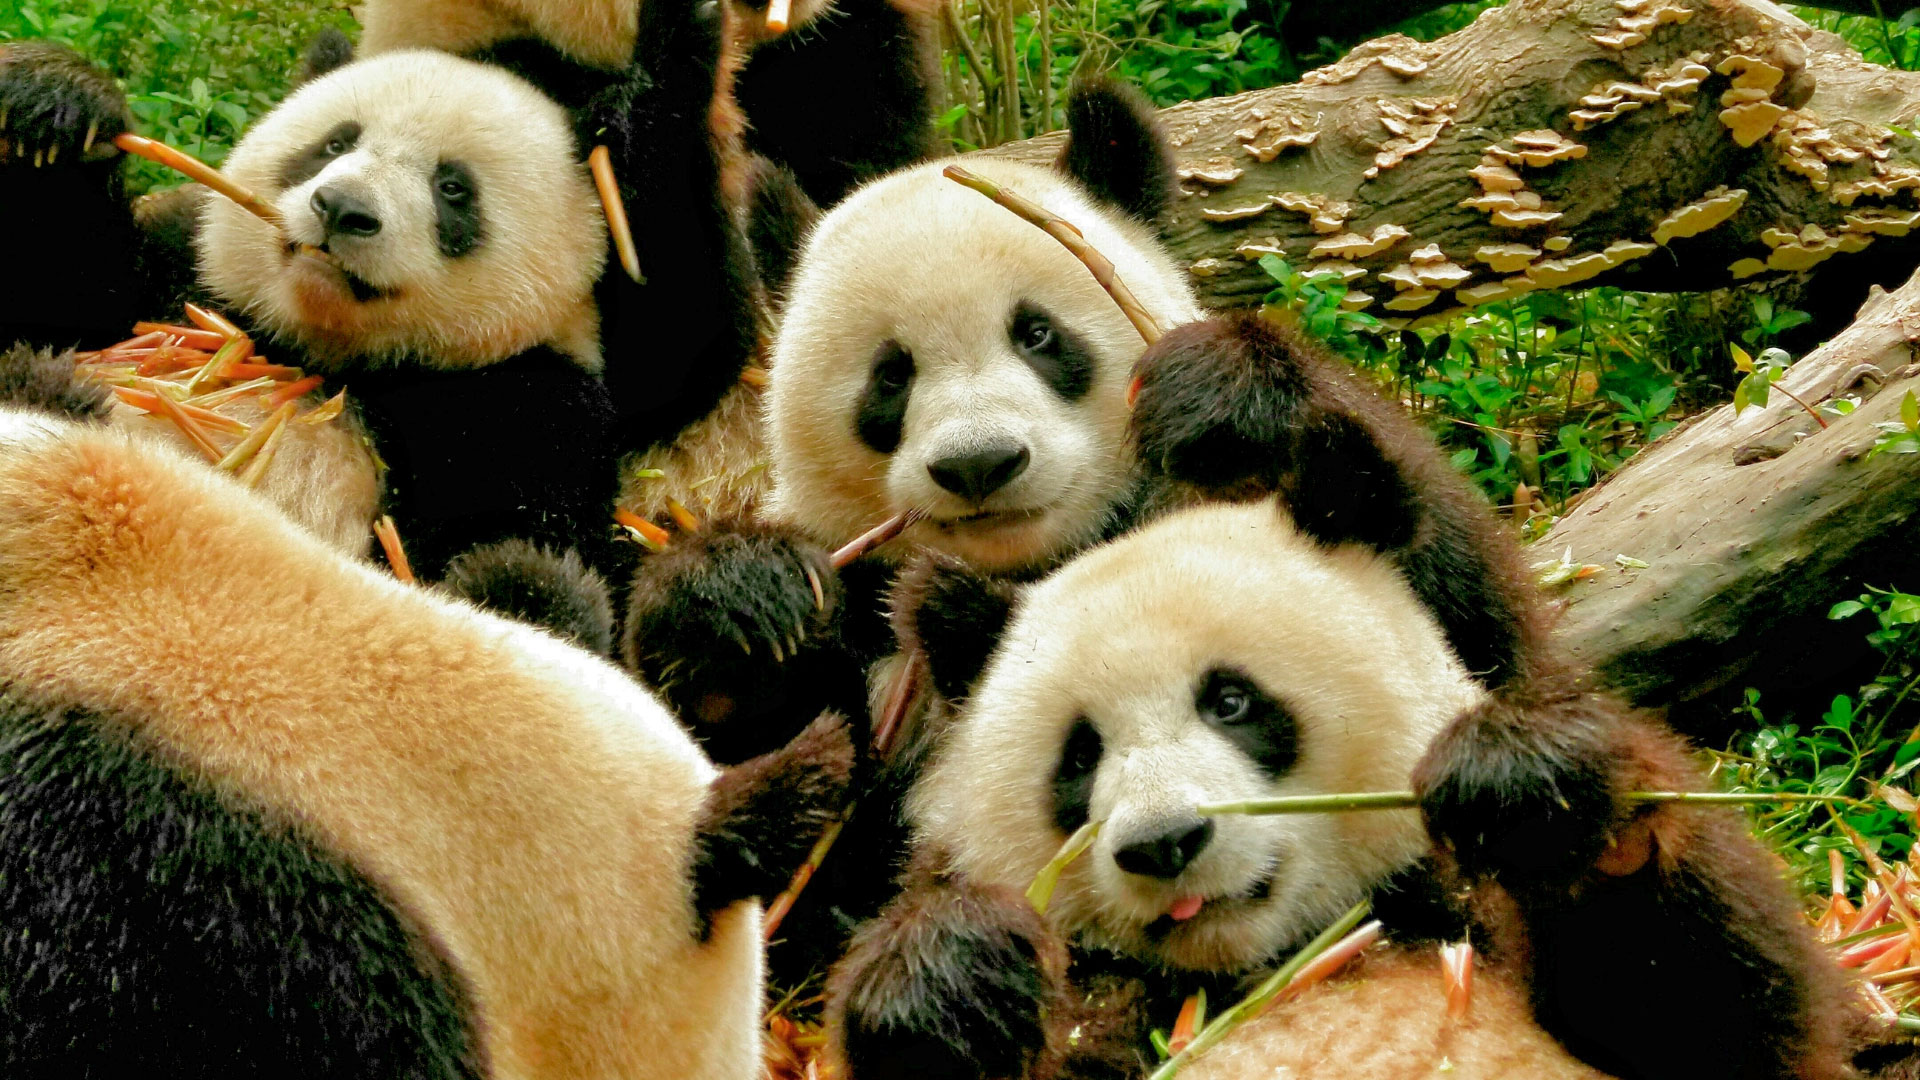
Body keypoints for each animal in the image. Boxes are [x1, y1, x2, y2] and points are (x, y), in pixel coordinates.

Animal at [0, 43, 634, 628]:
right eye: (334, 144)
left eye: (453, 187)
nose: (340, 208)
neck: (322, 352)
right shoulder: (189, 276)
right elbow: (66, 292)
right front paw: (52, 107)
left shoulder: (529, 403)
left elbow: (533, 539)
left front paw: (520, 584)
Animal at [827, 494, 1855, 1080]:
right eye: (1080, 757)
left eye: (1231, 700)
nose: (1164, 843)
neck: (1277, 963)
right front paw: (950, 979)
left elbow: (1723, 1024)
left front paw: (1531, 791)